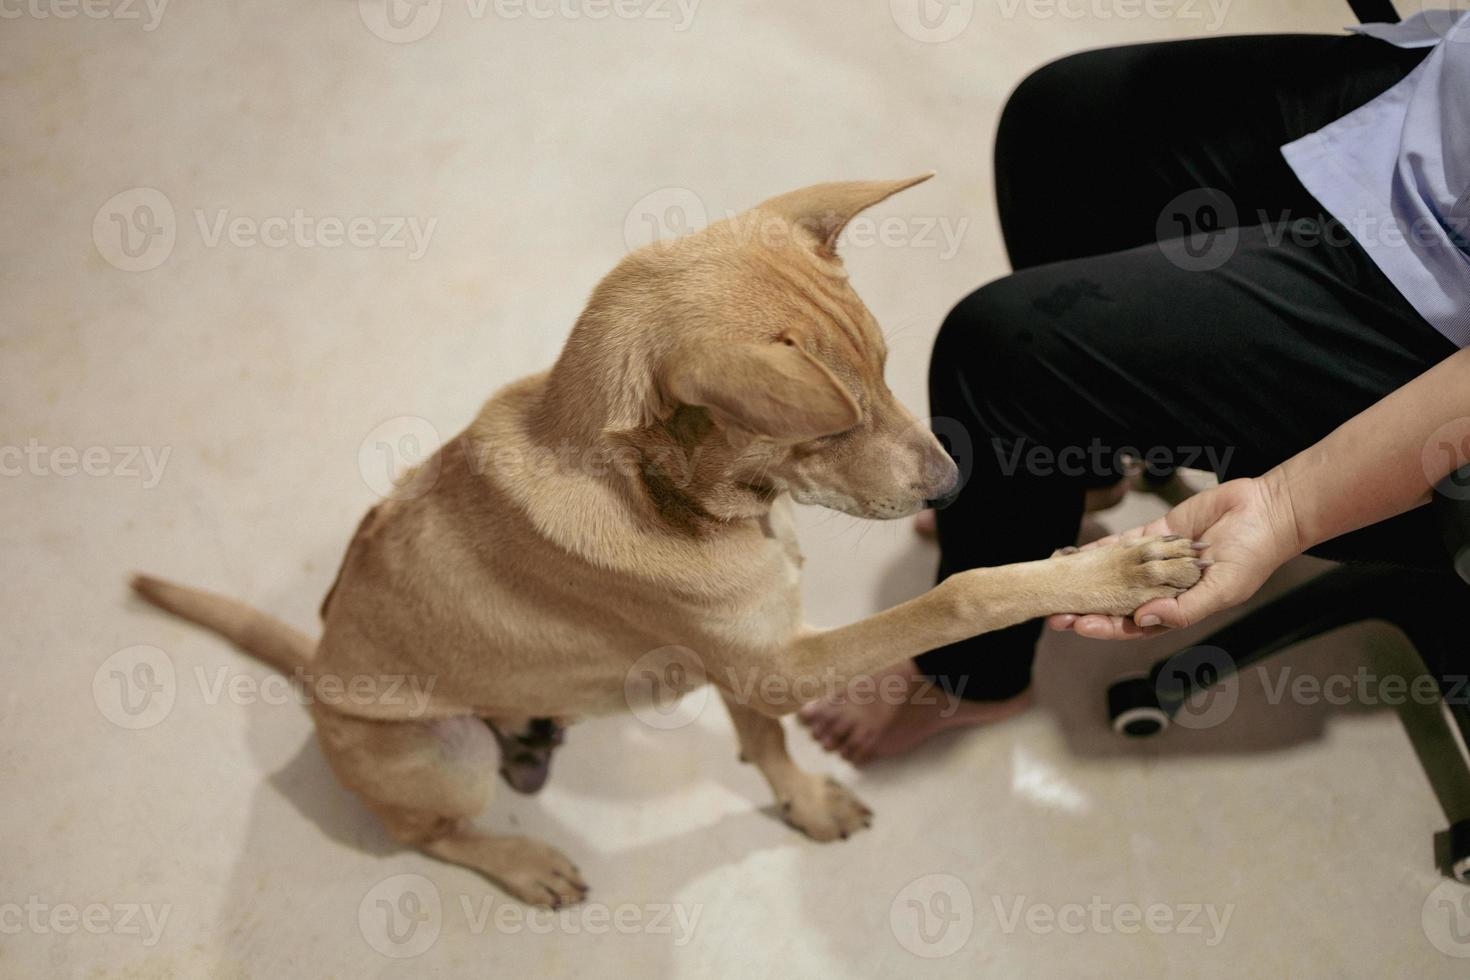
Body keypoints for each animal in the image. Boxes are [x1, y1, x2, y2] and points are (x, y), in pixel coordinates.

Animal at [132, 174, 1199, 905]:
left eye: (889, 370)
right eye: (827, 425)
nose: (951, 485)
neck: (674, 494)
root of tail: (314, 672)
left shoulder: (748, 666)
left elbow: (765, 746)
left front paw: (804, 803)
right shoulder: (782, 665)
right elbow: (961, 593)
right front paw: (1109, 569)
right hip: (438, 751)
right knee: (429, 836)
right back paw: (523, 858)